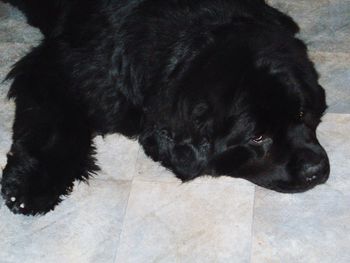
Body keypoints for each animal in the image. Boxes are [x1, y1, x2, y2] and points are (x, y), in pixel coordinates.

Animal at [0, 0, 328, 216]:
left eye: (302, 114)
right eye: (257, 137)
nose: (317, 170)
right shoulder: (57, 67)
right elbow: (51, 125)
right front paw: (32, 184)